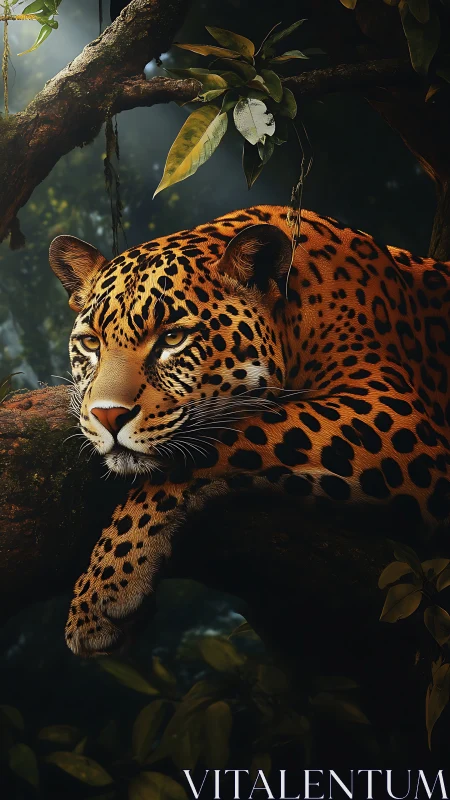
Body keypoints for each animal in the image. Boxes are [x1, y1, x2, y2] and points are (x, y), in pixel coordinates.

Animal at [49, 204, 450, 657]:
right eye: (91, 344)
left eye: (173, 338)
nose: (108, 416)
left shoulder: (396, 415)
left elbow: (230, 436)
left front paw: (105, 586)